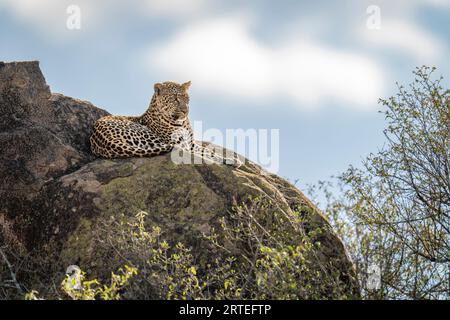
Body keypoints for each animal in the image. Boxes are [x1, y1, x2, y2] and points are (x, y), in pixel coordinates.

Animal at [89, 80, 241, 165]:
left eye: (187, 98)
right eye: (175, 99)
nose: (185, 111)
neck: (181, 122)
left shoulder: (191, 143)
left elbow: (208, 152)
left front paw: (231, 160)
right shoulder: (181, 143)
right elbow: (203, 154)